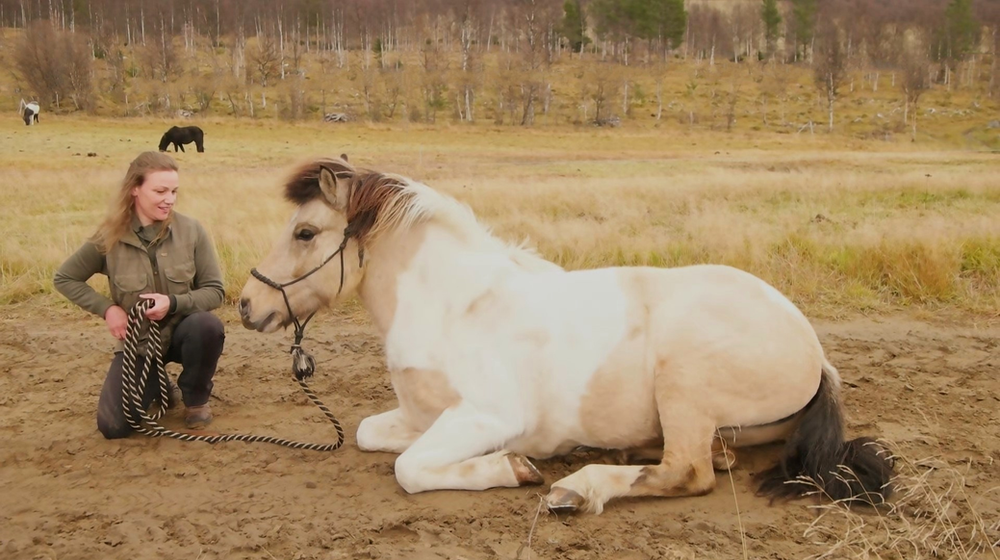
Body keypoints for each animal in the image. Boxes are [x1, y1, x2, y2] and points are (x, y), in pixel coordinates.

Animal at [238, 156, 894, 514]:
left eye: (304, 232)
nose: (248, 305)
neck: (454, 306)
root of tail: (814, 351)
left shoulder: (485, 417)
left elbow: (410, 469)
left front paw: (514, 469)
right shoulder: (421, 417)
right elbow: (370, 434)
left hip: (683, 381)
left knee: (690, 472)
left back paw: (576, 489)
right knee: (715, 456)